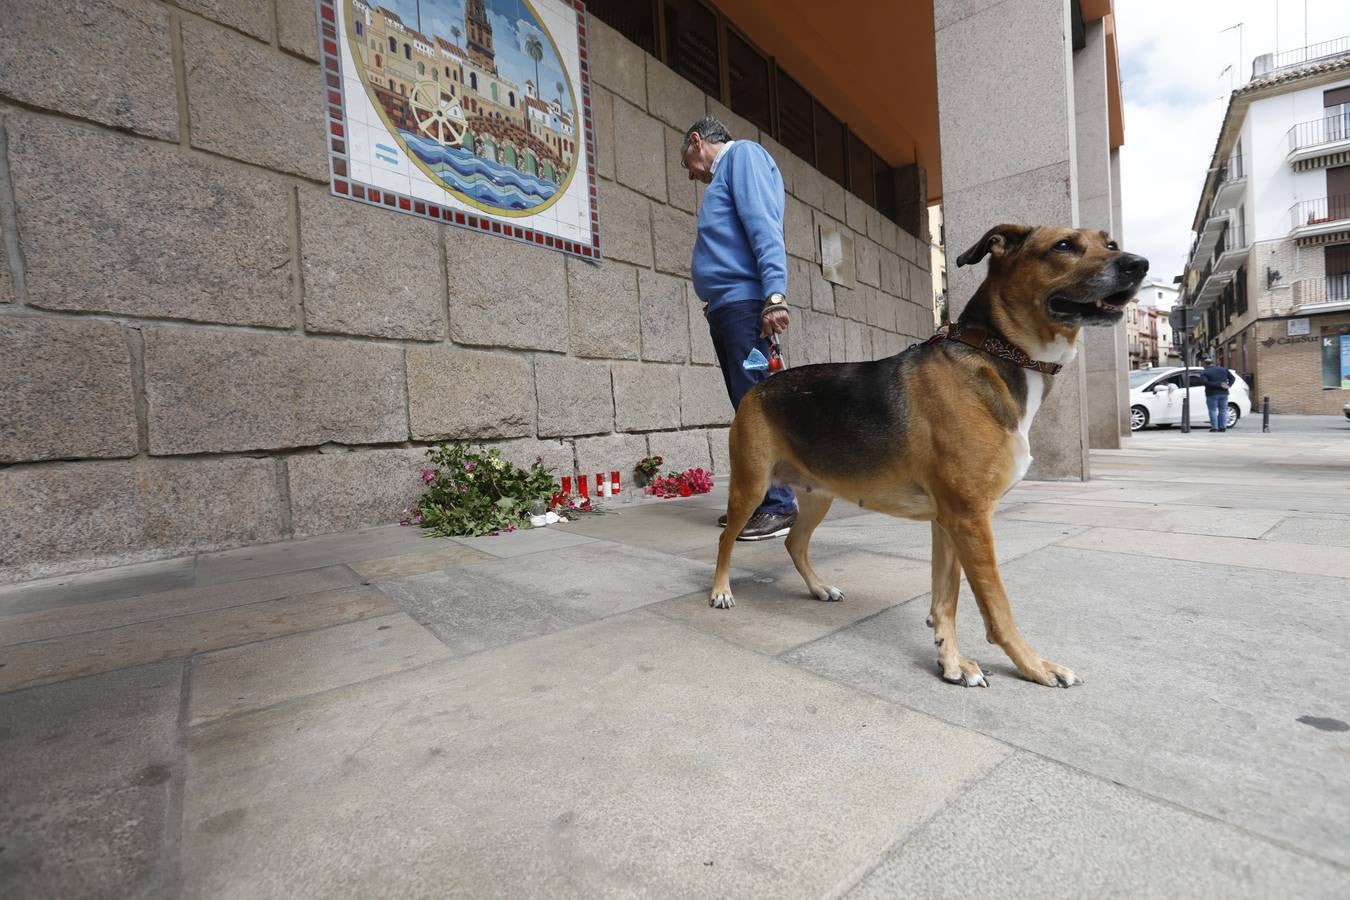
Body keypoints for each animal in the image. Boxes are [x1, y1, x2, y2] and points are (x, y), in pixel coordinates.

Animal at [712, 225, 1144, 690]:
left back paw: (819, 588)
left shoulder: (950, 519)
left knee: (794, 542)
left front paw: (950, 660)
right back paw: (720, 591)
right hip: (751, 485)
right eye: (1064, 246)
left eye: (1110, 244)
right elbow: (996, 603)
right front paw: (1032, 665)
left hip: (818, 495)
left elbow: (945, 598)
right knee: (727, 538)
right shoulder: (970, 517)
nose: (1139, 265)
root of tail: (762, 381)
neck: (995, 352)